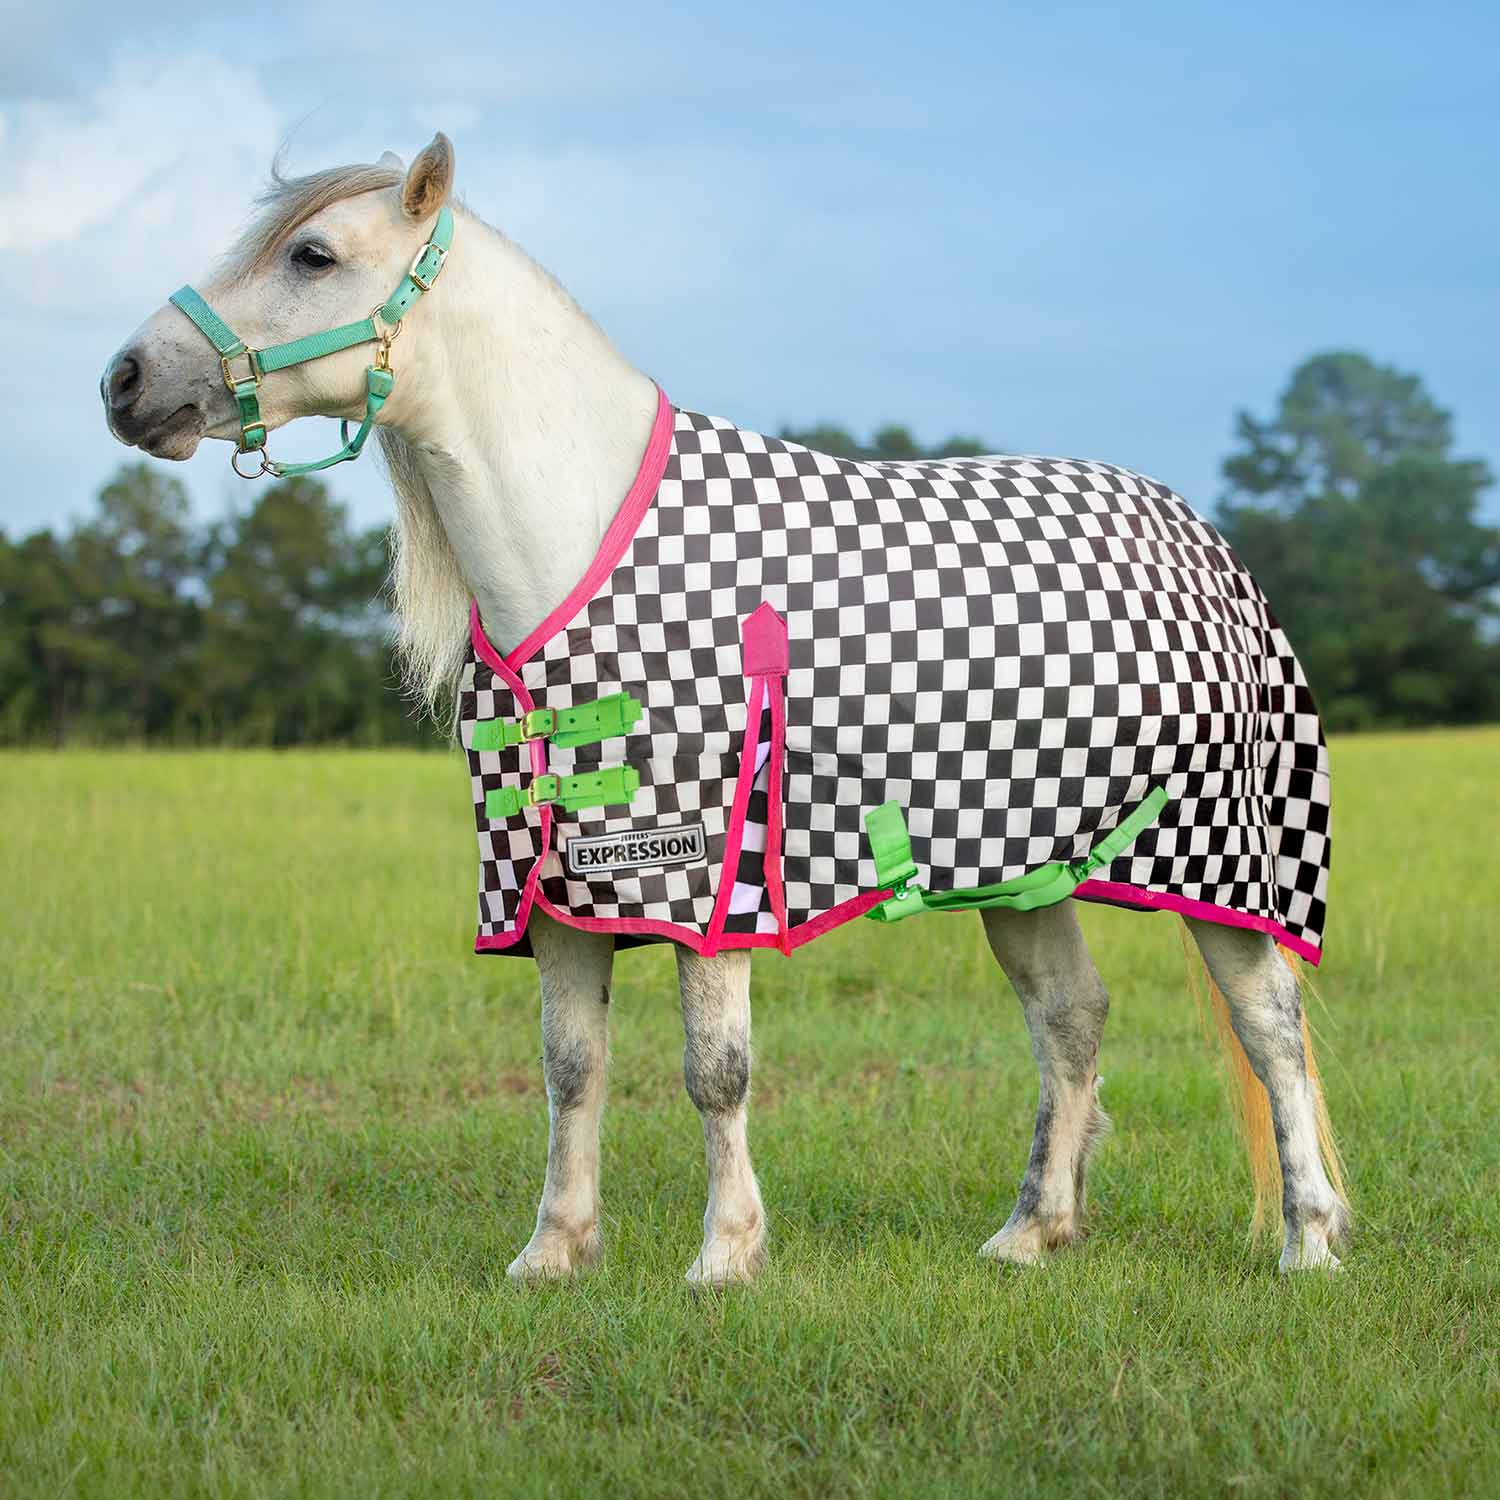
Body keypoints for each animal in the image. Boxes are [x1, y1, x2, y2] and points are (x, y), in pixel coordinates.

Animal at [101, 132, 1350, 1283]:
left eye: (312, 254)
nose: (126, 380)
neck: (580, 543)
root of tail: (1197, 534)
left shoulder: (707, 883)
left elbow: (716, 1070)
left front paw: (726, 1257)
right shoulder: (560, 890)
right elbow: (570, 1068)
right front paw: (554, 1253)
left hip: (1222, 862)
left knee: (1270, 1025)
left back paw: (1310, 1238)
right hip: (1021, 863)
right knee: (1071, 1019)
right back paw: (1032, 1232)